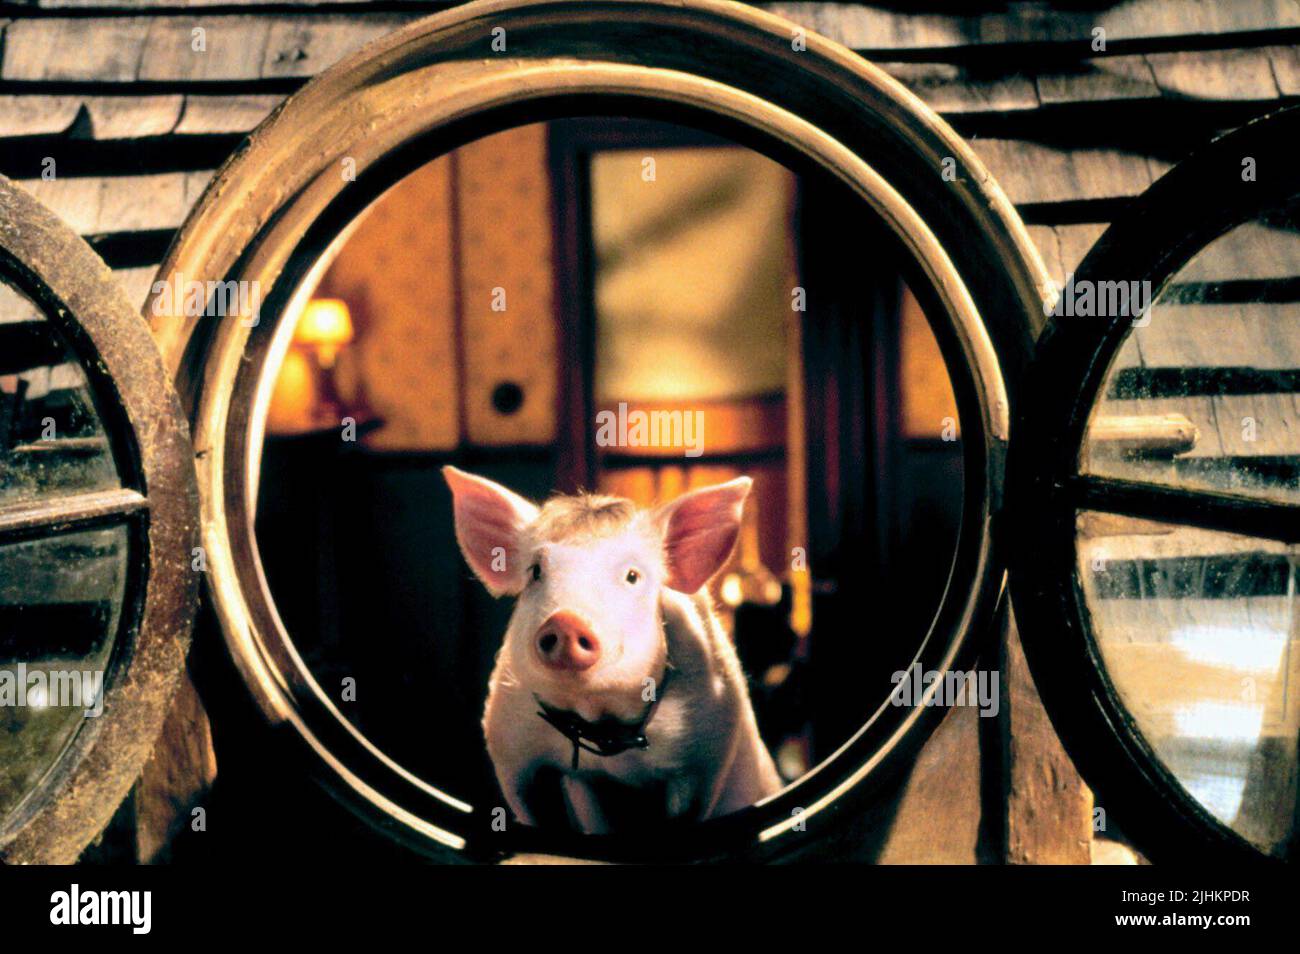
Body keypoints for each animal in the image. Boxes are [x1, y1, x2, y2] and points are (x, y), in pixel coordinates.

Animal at [443, 466, 782, 834]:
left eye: (632, 575)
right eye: (535, 571)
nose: (566, 621)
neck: (602, 723)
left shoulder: (704, 758)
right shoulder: (515, 751)